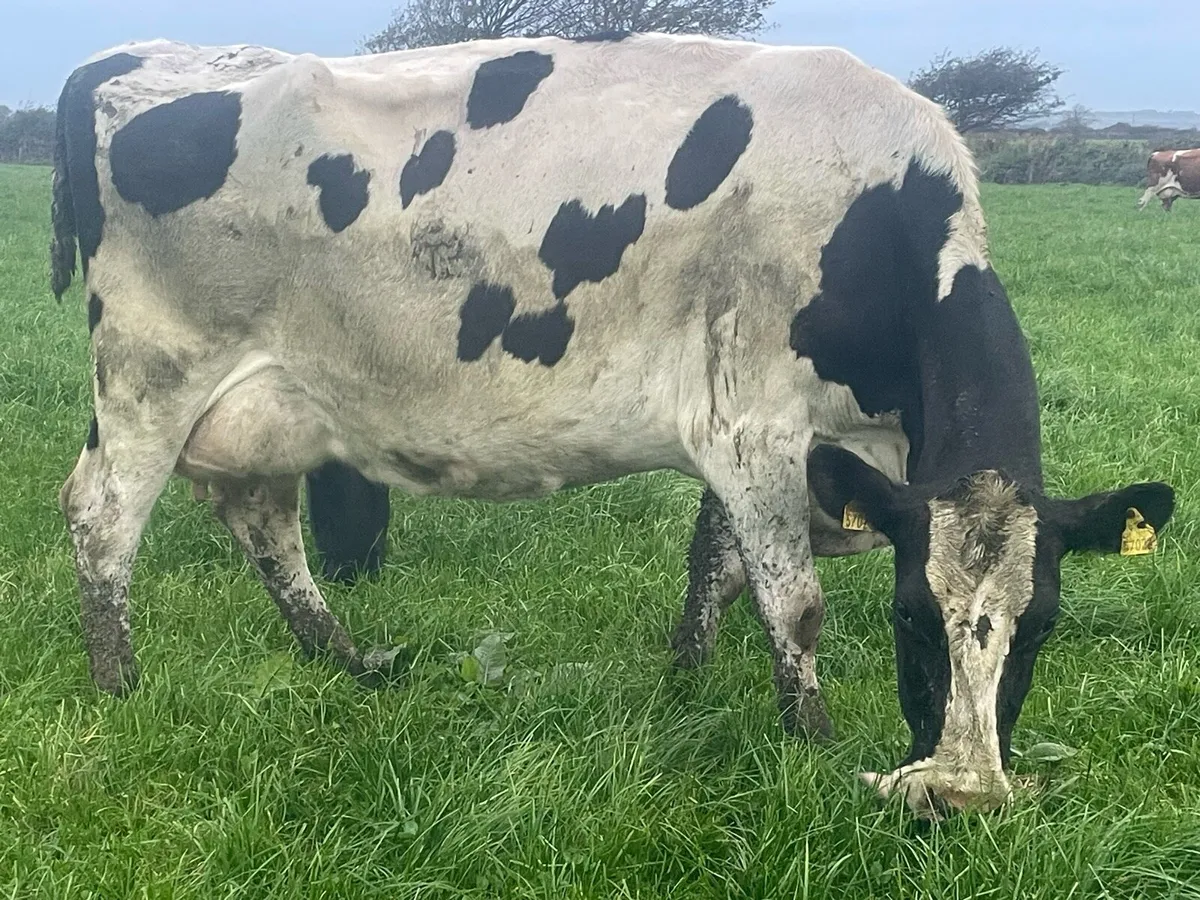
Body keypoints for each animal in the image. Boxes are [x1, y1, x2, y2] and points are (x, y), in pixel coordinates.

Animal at [50, 33, 1174, 819]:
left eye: (1043, 624)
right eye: (908, 618)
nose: (963, 795)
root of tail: (136, 57)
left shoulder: (792, 447)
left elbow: (717, 564)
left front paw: (687, 678)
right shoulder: (753, 422)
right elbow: (795, 601)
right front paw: (809, 743)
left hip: (271, 402)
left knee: (264, 522)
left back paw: (348, 659)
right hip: (152, 373)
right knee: (102, 514)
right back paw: (118, 684)